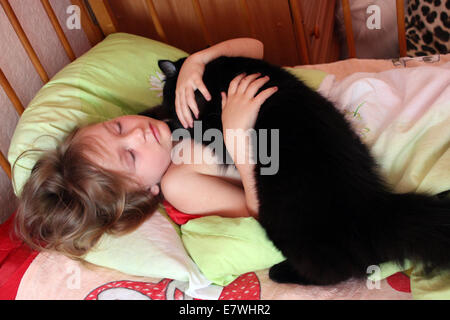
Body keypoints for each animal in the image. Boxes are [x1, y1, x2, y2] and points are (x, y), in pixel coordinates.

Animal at [141, 55, 450, 284]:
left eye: (170, 96)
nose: (169, 105)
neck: (218, 78)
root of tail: (372, 209)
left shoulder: (214, 127)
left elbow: (185, 127)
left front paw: (161, 120)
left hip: (282, 225)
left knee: (336, 272)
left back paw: (280, 273)